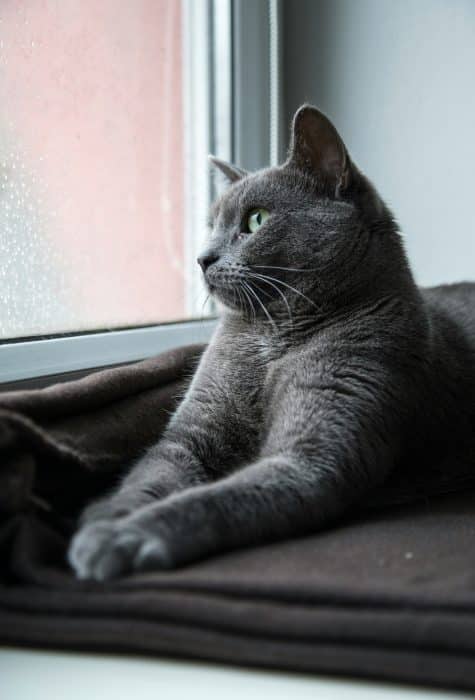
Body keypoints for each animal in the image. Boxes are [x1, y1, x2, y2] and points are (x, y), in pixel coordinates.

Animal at [69, 104, 474, 580]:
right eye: (211, 225)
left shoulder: (313, 455)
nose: (202, 258)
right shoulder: (190, 432)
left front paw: (123, 537)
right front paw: (108, 516)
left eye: (256, 219)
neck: (272, 338)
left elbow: (213, 500)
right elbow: (151, 475)